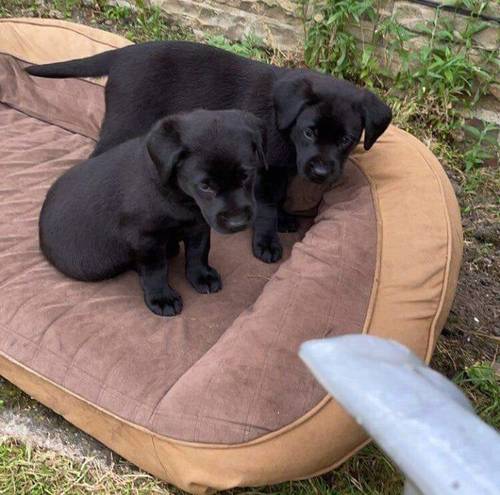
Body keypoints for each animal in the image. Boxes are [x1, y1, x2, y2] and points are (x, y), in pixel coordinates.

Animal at [40, 109, 266, 318]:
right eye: (205, 186)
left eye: (246, 175)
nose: (238, 222)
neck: (180, 198)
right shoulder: (146, 238)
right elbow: (155, 269)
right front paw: (162, 297)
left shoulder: (198, 225)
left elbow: (198, 252)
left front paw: (201, 276)